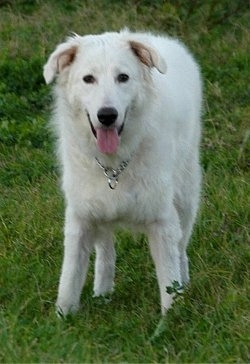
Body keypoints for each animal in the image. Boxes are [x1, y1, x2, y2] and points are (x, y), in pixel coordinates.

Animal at [43, 30, 201, 316]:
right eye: (88, 79)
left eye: (123, 77)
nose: (107, 115)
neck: (113, 166)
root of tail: (159, 38)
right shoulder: (81, 217)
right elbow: (70, 278)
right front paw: (63, 317)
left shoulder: (162, 222)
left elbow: (168, 281)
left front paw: (172, 319)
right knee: (106, 250)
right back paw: (102, 292)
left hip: (186, 199)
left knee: (182, 249)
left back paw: (185, 283)